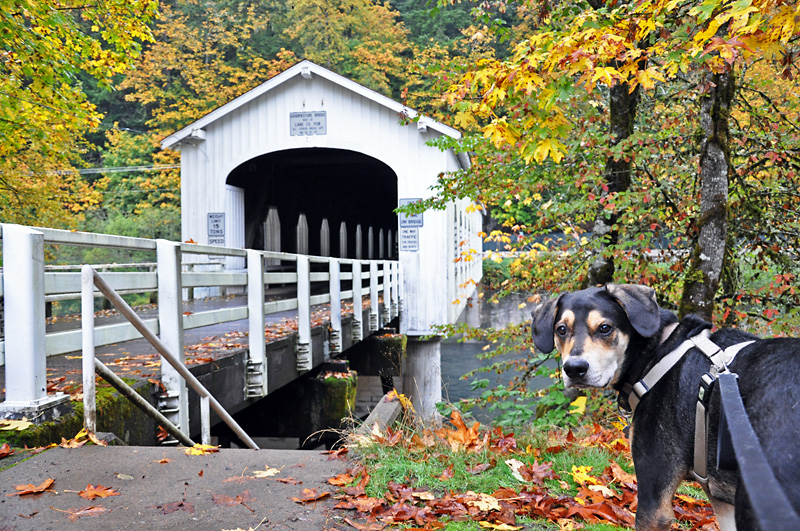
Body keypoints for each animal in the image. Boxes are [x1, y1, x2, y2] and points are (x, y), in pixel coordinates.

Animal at [532, 286, 800, 531]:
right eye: (561, 329)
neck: (658, 353)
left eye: (605, 328)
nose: (574, 369)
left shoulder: (654, 500)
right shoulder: (722, 503)